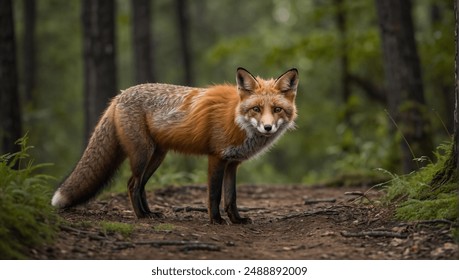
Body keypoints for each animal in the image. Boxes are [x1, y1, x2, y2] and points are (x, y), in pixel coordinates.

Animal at [52, 67, 300, 223]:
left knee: (141, 186)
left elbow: (231, 198)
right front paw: (216, 220)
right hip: (142, 154)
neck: (236, 118)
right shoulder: (216, 158)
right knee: (132, 184)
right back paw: (141, 217)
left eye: (277, 109)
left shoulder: (232, 163)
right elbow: (214, 195)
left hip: (157, 157)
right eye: (256, 109)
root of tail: (119, 96)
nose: (267, 127)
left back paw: (150, 213)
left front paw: (237, 220)